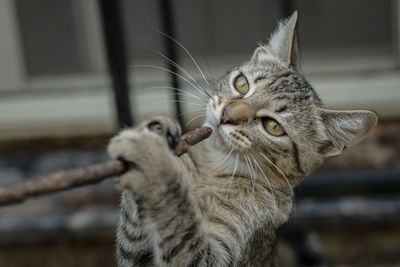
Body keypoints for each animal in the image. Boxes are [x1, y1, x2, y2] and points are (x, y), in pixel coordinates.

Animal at [108, 12, 376, 267]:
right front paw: (156, 131)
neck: (209, 173)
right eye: (242, 83)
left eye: (273, 127)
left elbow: (179, 219)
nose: (227, 115)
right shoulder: (135, 254)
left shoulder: (217, 255)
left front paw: (155, 163)